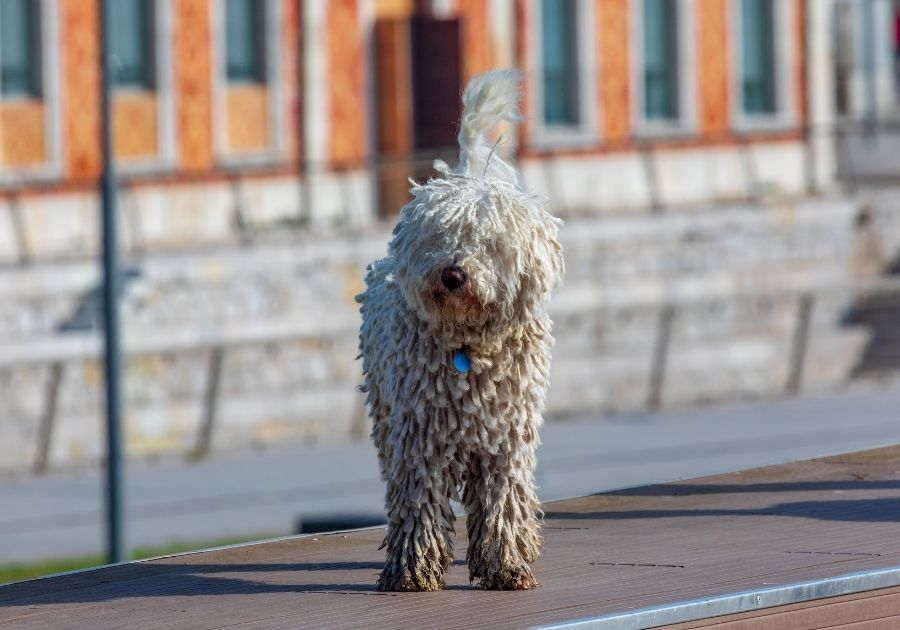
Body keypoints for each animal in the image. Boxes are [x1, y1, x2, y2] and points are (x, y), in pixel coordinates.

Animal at [356, 69, 564, 592]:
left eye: (488, 242)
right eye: (438, 235)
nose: (452, 274)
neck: (469, 344)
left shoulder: (506, 437)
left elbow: (503, 499)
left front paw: (506, 565)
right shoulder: (419, 435)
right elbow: (418, 503)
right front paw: (412, 570)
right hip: (385, 413)